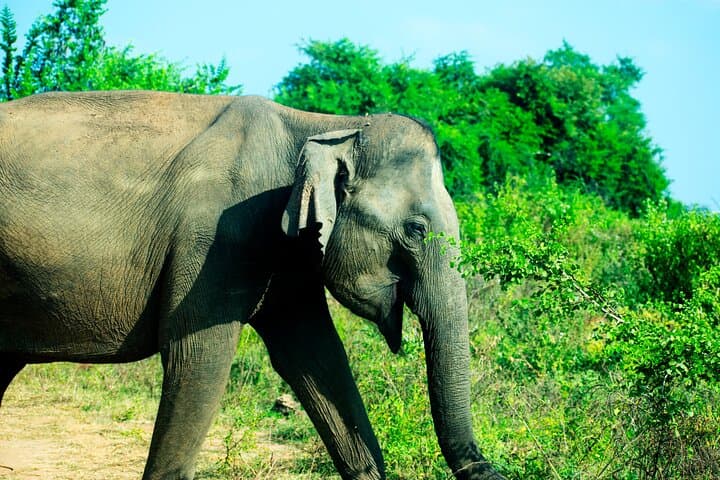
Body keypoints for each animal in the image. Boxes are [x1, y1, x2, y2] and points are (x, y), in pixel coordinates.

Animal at [0, 91, 504, 480]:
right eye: (416, 230)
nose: (490, 468)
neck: (322, 126)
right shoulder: (216, 239)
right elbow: (198, 355)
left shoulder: (286, 256)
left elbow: (315, 355)